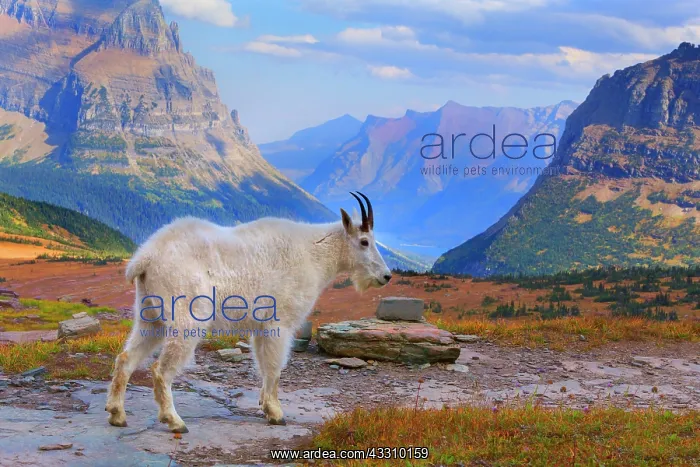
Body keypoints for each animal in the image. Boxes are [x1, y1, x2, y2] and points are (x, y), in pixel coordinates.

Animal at [105, 193, 392, 432]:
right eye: (364, 241)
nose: (386, 276)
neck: (315, 254)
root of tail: (145, 258)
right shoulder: (280, 322)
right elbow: (274, 368)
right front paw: (276, 413)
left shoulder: (261, 326)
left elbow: (264, 365)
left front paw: (265, 406)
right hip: (186, 319)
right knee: (160, 369)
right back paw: (174, 420)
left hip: (150, 315)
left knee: (126, 358)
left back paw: (117, 414)